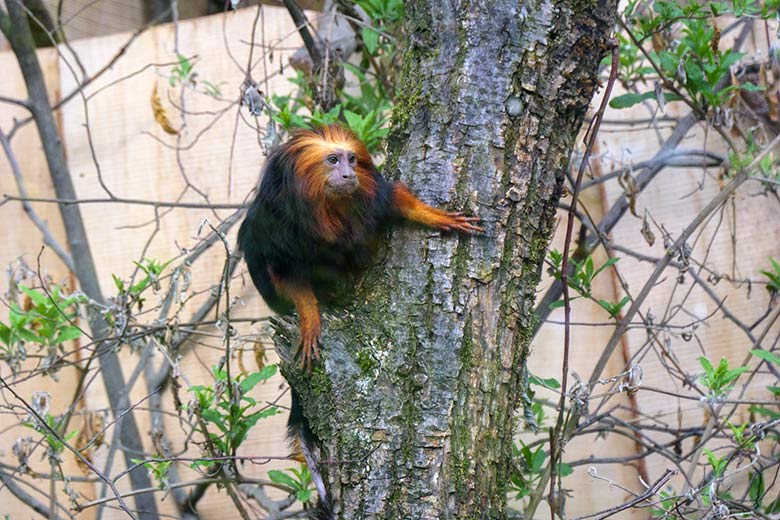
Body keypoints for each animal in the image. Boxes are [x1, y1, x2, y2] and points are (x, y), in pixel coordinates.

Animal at [238, 123, 482, 370]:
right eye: (333, 160)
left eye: (352, 159)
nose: (349, 174)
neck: (324, 207)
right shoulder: (279, 224)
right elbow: (287, 276)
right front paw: (310, 320)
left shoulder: (371, 196)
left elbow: (393, 199)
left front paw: (435, 216)